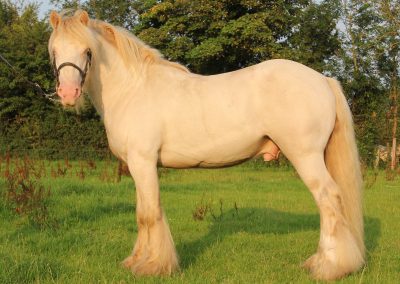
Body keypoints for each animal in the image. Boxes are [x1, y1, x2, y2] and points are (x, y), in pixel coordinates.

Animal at [48, 10, 364, 280]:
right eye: (54, 52)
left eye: (87, 51)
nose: (68, 93)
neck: (133, 89)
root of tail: (323, 79)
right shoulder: (137, 167)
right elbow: (142, 213)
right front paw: (137, 261)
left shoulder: (143, 161)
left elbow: (150, 214)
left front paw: (154, 266)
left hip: (305, 156)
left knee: (328, 199)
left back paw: (329, 268)